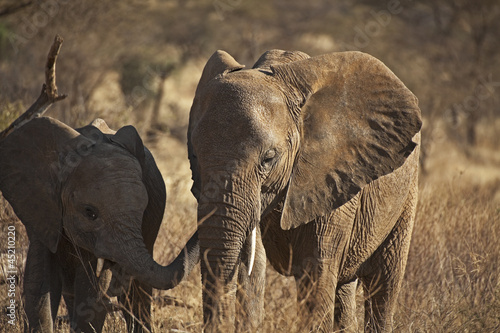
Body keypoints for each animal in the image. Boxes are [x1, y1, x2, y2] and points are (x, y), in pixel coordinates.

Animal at [0, 117, 199, 332]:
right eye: (90, 212)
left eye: (142, 210)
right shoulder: (42, 209)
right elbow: (38, 285)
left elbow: (91, 292)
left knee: (136, 294)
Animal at [188, 48, 422, 330]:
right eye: (195, 156)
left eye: (268, 158)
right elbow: (253, 266)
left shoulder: (333, 180)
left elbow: (315, 273)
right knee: (344, 288)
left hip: (407, 195)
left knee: (384, 286)